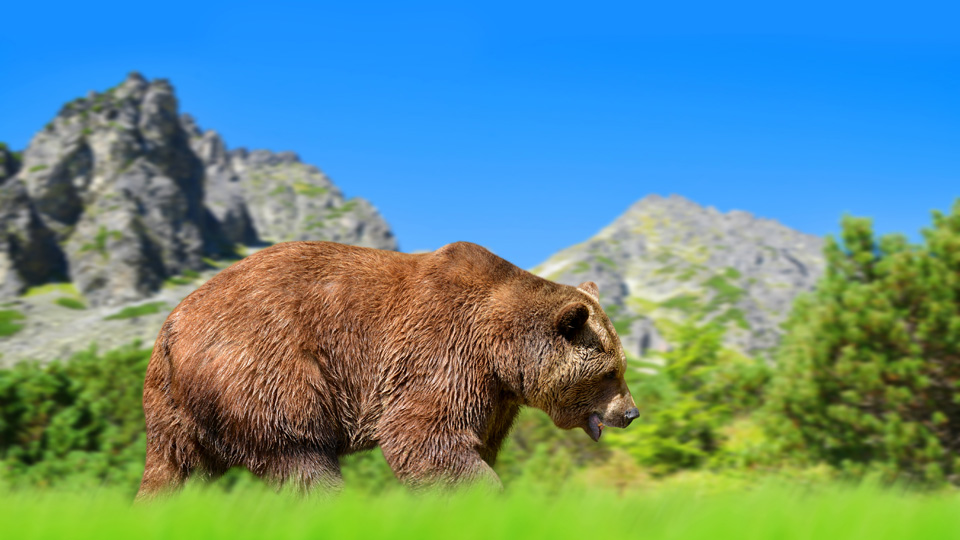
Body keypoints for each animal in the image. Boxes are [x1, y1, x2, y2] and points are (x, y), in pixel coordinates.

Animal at [135, 240, 640, 498]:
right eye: (611, 372)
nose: (631, 413)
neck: (503, 351)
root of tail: (172, 326)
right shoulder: (442, 352)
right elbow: (424, 437)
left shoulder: (495, 395)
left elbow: (473, 441)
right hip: (264, 364)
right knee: (298, 452)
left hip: (174, 406)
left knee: (177, 468)